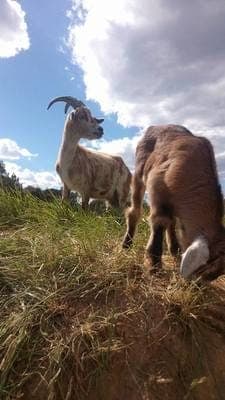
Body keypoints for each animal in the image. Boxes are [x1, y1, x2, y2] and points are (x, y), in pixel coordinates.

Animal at [123, 125, 225, 282]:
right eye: (207, 265)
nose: (194, 284)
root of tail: (155, 126)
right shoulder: (157, 189)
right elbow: (159, 222)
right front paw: (154, 268)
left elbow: (171, 222)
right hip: (139, 173)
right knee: (134, 212)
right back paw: (126, 245)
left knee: (171, 221)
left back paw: (174, 249)